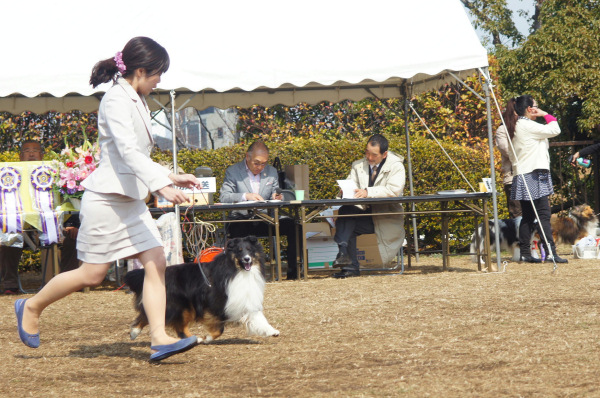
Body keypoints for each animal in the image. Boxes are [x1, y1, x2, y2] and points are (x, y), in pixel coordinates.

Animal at [123, 236, 282, 342]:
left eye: (250, 250)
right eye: (239, 251)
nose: (247, 259)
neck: (236, 271)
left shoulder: (243, 300)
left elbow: (258, 318)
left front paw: (272, 331)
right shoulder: (216, 303)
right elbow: (219, 328)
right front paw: (208, 337)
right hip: (182, 306)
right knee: (171, 323)